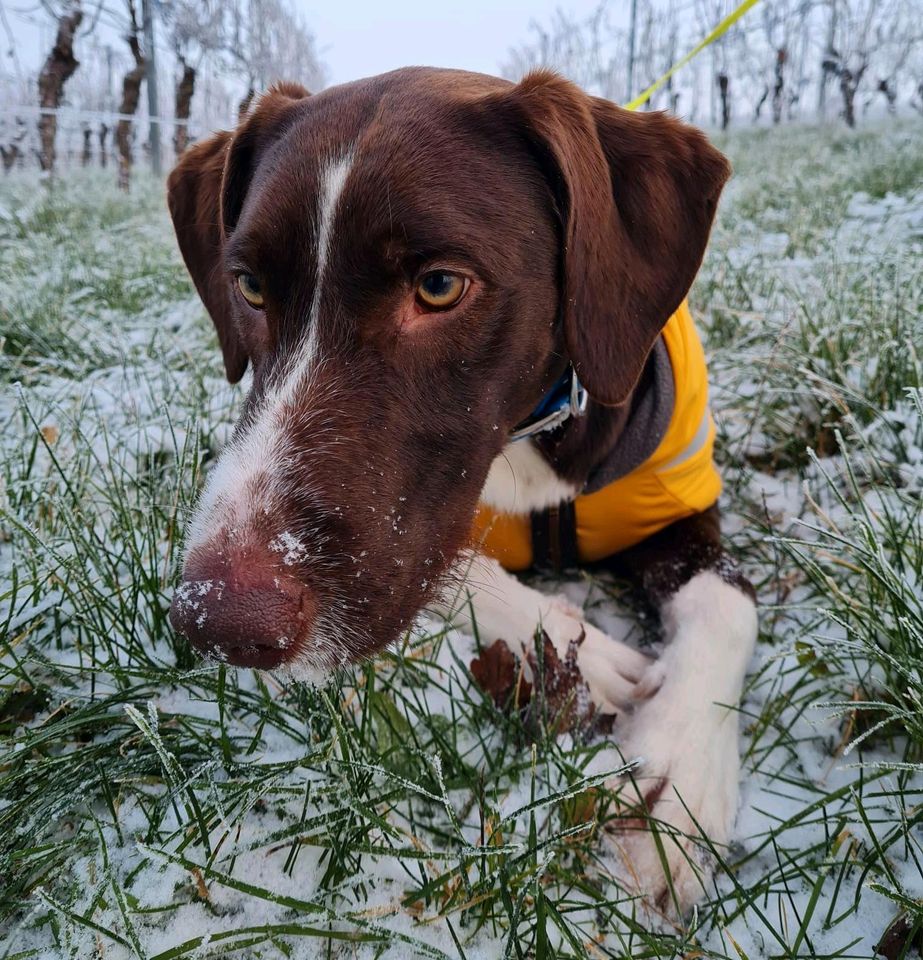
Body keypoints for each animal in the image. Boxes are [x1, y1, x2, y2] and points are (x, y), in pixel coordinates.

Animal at [166, 69, 756, 916]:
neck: (537, 425)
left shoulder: (680, 506)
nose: (220, 621)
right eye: (247, 285)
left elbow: (725, 604)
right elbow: (453, 566)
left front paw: (671, 785)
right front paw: (578, 649)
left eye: (439, 286)